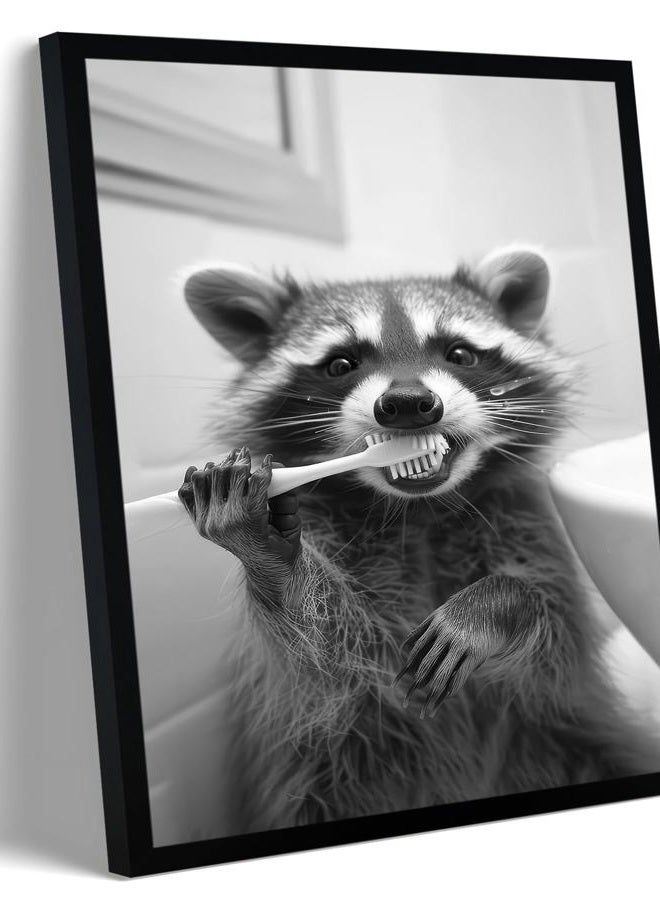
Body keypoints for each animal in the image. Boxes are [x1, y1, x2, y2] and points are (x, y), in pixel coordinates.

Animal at [178, 247, 659, 833]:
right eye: (341, 364)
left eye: (460, 353)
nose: (408, 402)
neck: (419, 510)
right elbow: (329, 654)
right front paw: (272, 558)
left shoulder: (529, 530)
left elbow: (552, 637)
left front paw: (496, 604)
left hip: (572, 747)